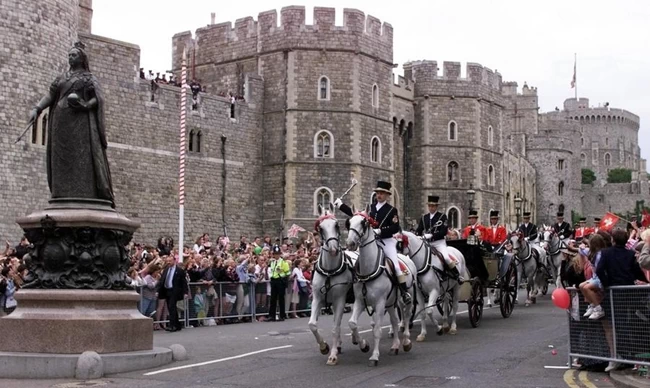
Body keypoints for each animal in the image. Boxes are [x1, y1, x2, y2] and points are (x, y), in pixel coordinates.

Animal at [308, 205, 352, 366]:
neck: (329, 271)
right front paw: (324, 347)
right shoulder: (317, 299)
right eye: (321, 228)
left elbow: (335, 328)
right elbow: (312, 325)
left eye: (336, 225)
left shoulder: (340, 300)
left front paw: (332, 355)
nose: (333, 249)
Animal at [344, 206, 416, 366]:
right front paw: (363, 345)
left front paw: (374, 356)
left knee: (406, 316)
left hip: (405, 298)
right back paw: (395, 346)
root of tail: (406, 257)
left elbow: (377, 329)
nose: (350, 243)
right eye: (349, 222)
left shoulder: (379, 303)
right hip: (391, 303)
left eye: (364, 222)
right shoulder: (360, 301)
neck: (368, 269)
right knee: (395, 321)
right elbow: (352, 323)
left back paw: (406, 341)